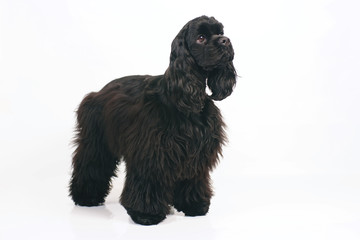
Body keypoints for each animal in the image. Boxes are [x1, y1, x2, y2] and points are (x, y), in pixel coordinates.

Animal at [70, 15, 236, 225]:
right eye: (200, 38)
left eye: (220, 32)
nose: (226, 40)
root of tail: (98, 92)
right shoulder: (151, 152)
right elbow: (148, 182)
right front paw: (146, 214)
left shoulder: (196, 152)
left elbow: (192, 179)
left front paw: (194, 205)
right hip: (96, 141)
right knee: (91, 164)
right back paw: (86, 197)